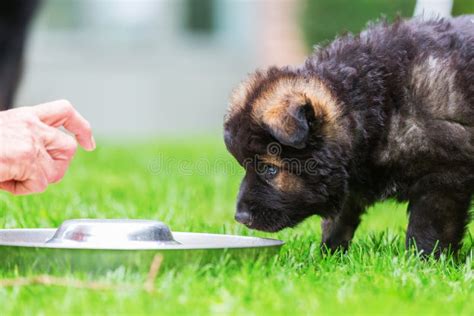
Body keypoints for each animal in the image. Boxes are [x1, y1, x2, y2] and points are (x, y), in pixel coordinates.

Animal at [223, 16, 474, 256]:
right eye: (245, 166)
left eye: (269, 169)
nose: (240, 218)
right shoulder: (347, 181)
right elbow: (337, 221)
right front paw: (329, 256)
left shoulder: (443, 178)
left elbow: (427, 230)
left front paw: (424, 261)